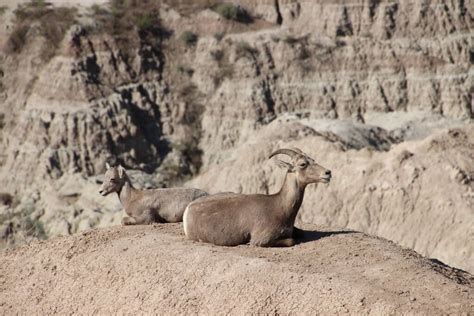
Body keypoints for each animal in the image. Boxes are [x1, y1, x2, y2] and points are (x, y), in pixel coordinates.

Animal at [183, 148, 332, 247]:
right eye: (302, 164)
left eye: (313, 160)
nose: (328, 173)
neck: (279, 206)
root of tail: (188, 210)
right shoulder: (261, 239)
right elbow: (291, 241)